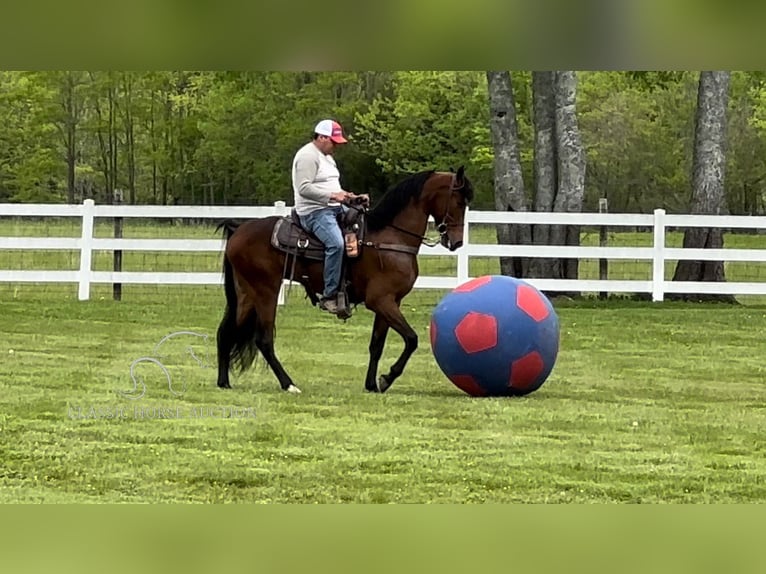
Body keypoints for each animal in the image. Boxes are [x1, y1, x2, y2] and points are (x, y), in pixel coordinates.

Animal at [214, 164, 474, 394]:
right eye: (459, 201)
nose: (457, 242)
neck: (389, 238)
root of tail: (238, 230)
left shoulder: (390, 302)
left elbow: (376, 345)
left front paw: (372, 384)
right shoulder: (381, 301)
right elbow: (411, 339)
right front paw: (387, 378)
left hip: (246, 294)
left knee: (226, 332)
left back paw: (224, 382)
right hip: (266, 291)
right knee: (264, 340)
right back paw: (289, 384)